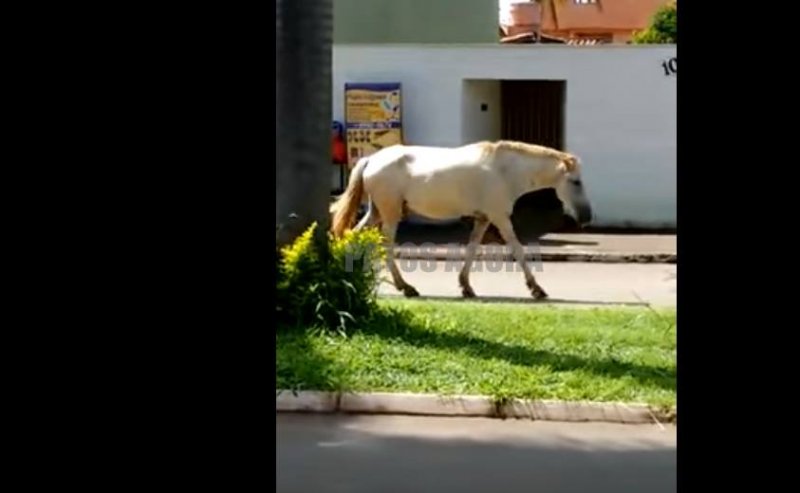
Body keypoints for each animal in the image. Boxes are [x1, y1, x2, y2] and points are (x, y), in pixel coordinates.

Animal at [326, 139, 592, 300]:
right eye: (576, 182)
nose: (586, 217)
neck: (504, 171)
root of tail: (371, 159)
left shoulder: (483, 219)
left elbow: (472, 250)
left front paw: (466, 286)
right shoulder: (500, 217)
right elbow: (518, 249)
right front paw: (536, 288)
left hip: (377, 212)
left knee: (354, 236)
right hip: (391, 214)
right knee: (386, 247)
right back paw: (406, 287)